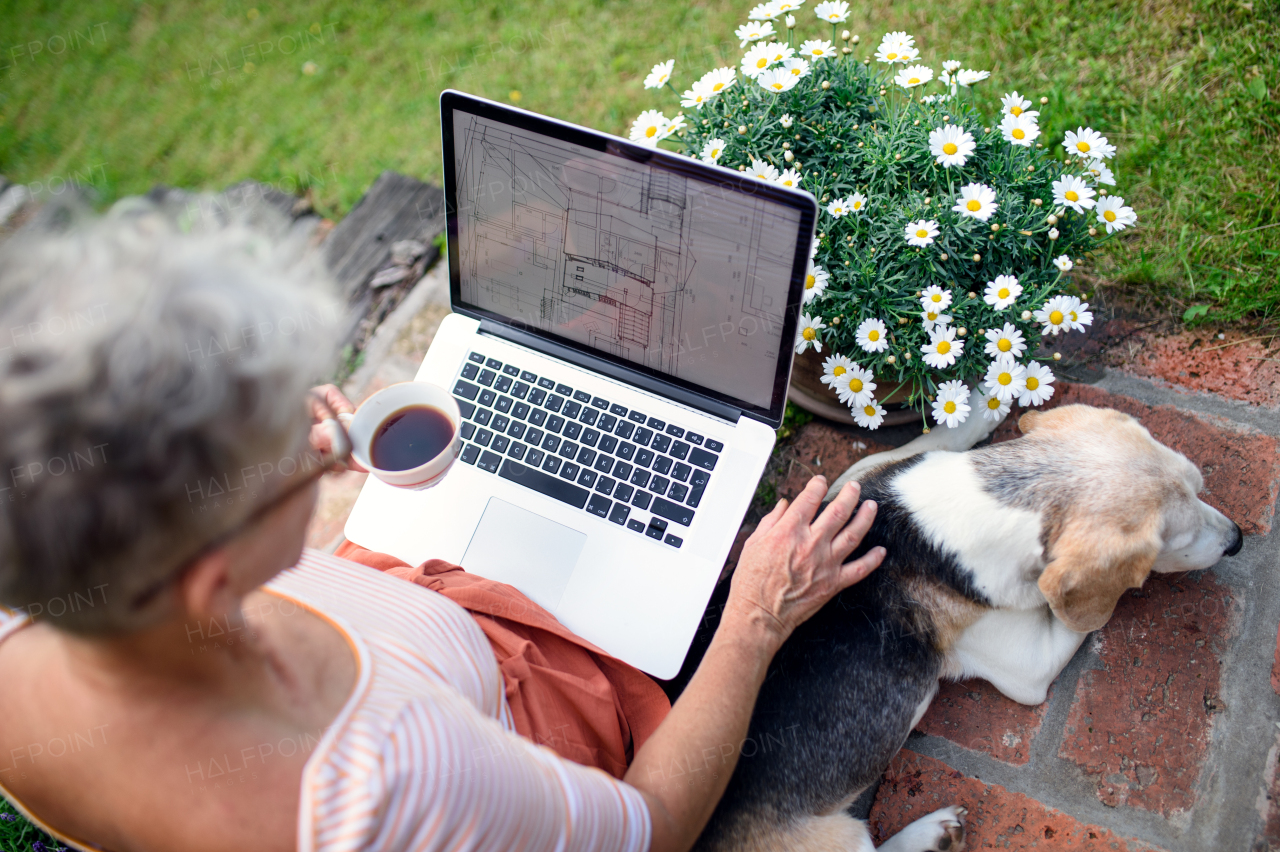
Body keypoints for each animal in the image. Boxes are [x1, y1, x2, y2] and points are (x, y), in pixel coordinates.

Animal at [696, 399, 1244, 849]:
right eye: (1174, 540)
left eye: (1200, 487)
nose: (1238, 540)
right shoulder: (1029, 669)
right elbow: (1075, 614)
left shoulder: (850, 483)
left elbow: (928, 441)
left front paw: (981, 406)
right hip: (837, 837)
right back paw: (934, 833)